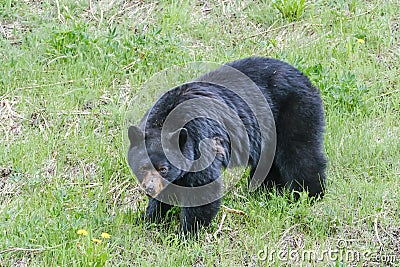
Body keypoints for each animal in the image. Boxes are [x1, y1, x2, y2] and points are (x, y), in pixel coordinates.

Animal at [126, 57, 326, 237]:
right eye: (143, 167)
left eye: (163, 168)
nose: (149, 188)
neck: (164, 121)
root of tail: (305, 77)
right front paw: (147, 218)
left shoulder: (201, 144)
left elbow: (203, 188)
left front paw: (186, 234)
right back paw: (265, 191)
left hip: (295, 113)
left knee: (300, 155)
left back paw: (310, 195)